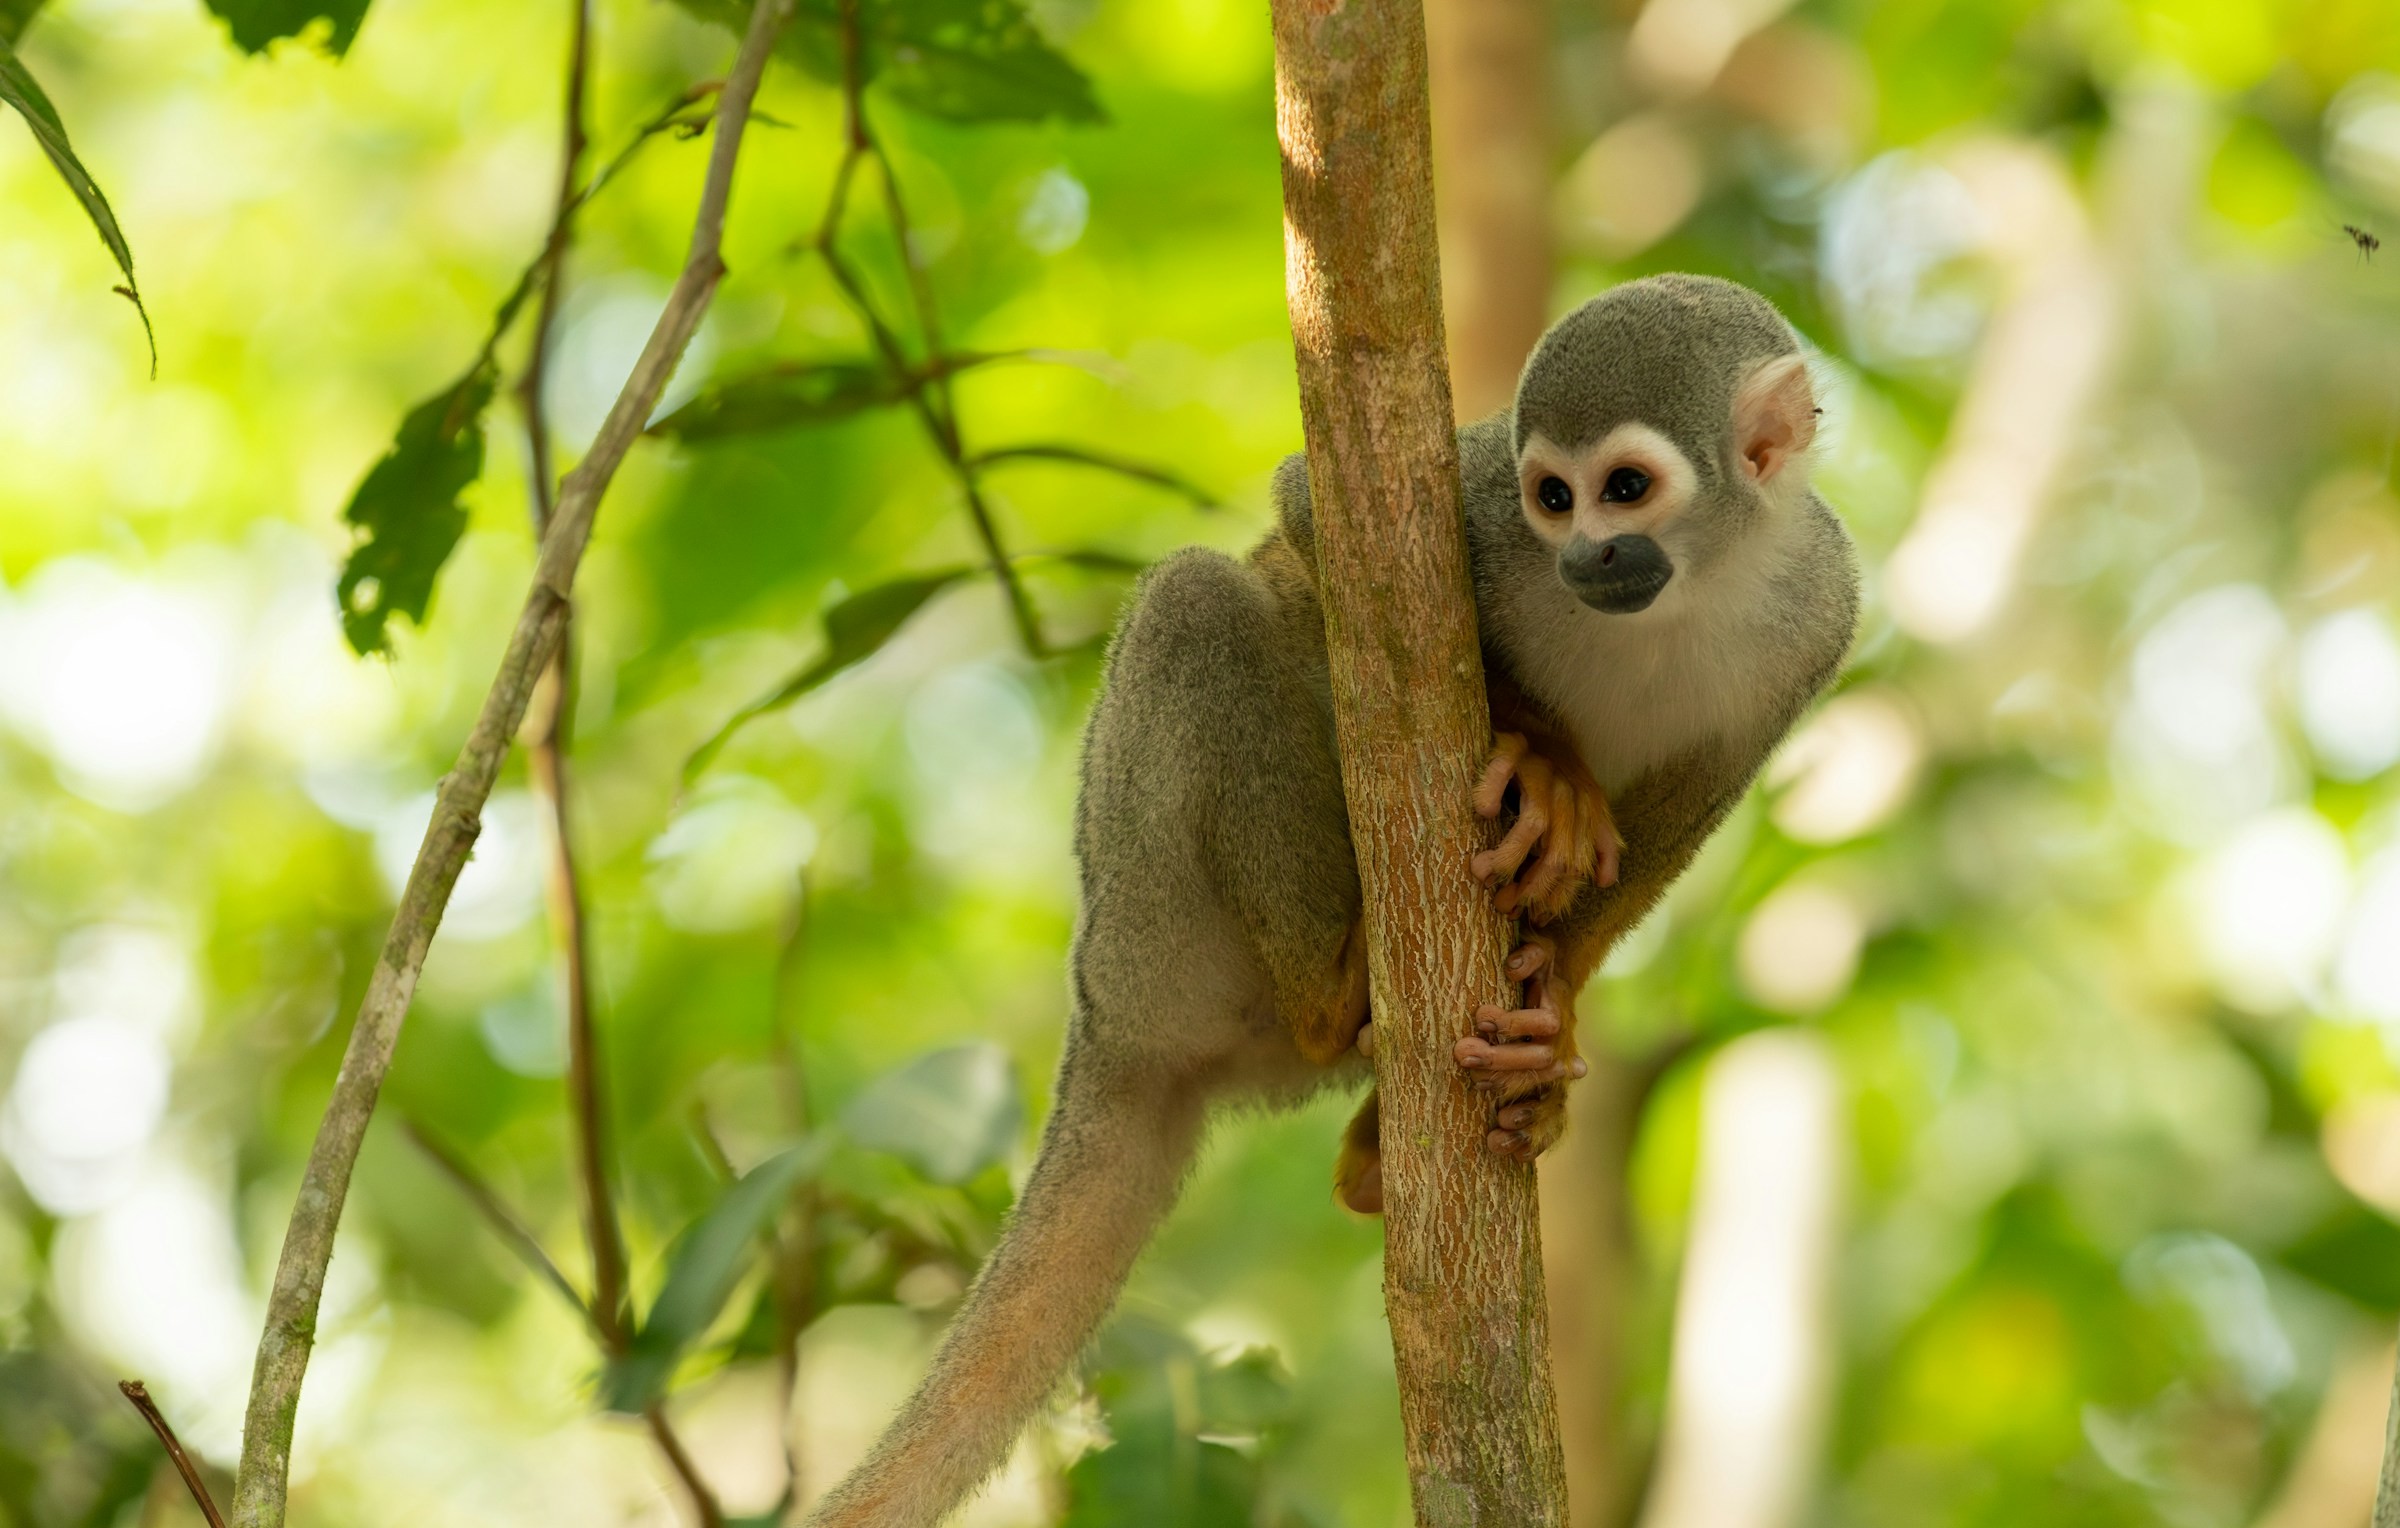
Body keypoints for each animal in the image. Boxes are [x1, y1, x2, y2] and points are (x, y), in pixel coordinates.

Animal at [805, 274, 1859, 1527]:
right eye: (1552, 497)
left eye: (1627, 488)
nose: (1590, 557)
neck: (1691, 590)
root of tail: (1111, 1032)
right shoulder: (1484, 513)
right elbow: (1317, 526)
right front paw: (1547, 760)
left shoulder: (1819, 615)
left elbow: (1701, 789)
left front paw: (1552, 998)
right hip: (1145, 911)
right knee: (1205, 601)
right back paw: (1334, 992)